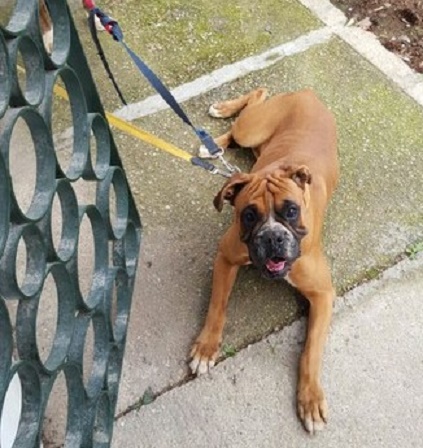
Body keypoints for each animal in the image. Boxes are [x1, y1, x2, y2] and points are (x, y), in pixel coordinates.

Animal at [189, 88, 339, 433]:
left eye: (292, 210)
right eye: (248, 215)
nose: (272, 237)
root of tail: (307, 93)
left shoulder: (323, 295)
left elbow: (311, 350)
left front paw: (310, 398)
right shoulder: (225, 257)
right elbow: (217, 307)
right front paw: (206, 348)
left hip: (256, 138)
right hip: (253, 130)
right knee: (250, 106)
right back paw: (216, 131)